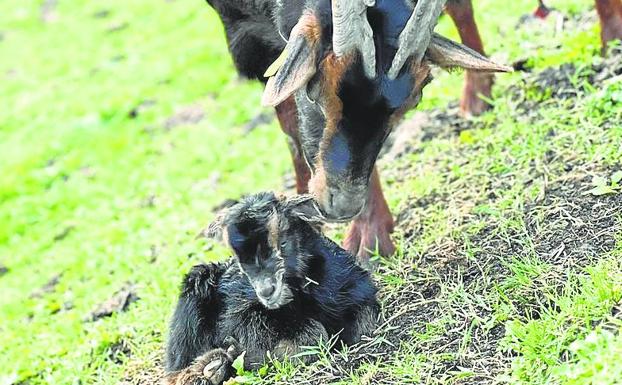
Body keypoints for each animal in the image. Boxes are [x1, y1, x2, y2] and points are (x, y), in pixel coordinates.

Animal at [163, 194, 380, 382]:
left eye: (282, 243)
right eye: (241, 260)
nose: (267, 292)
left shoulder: (356, 290)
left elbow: (364, 323)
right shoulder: (242, 315)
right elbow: (311, 334)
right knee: (176, 365)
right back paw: (209, 369)